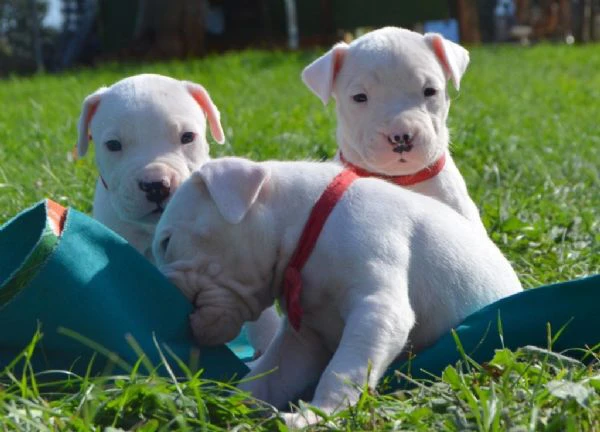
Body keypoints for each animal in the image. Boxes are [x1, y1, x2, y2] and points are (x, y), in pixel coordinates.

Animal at [152, 157, 524, 426]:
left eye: (167, 242)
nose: (164, 293)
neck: (307, 225)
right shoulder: (303, 339)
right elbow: (269, 374)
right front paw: (225, 404)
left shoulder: (377, 308)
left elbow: (343, 370)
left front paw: (316, 415)